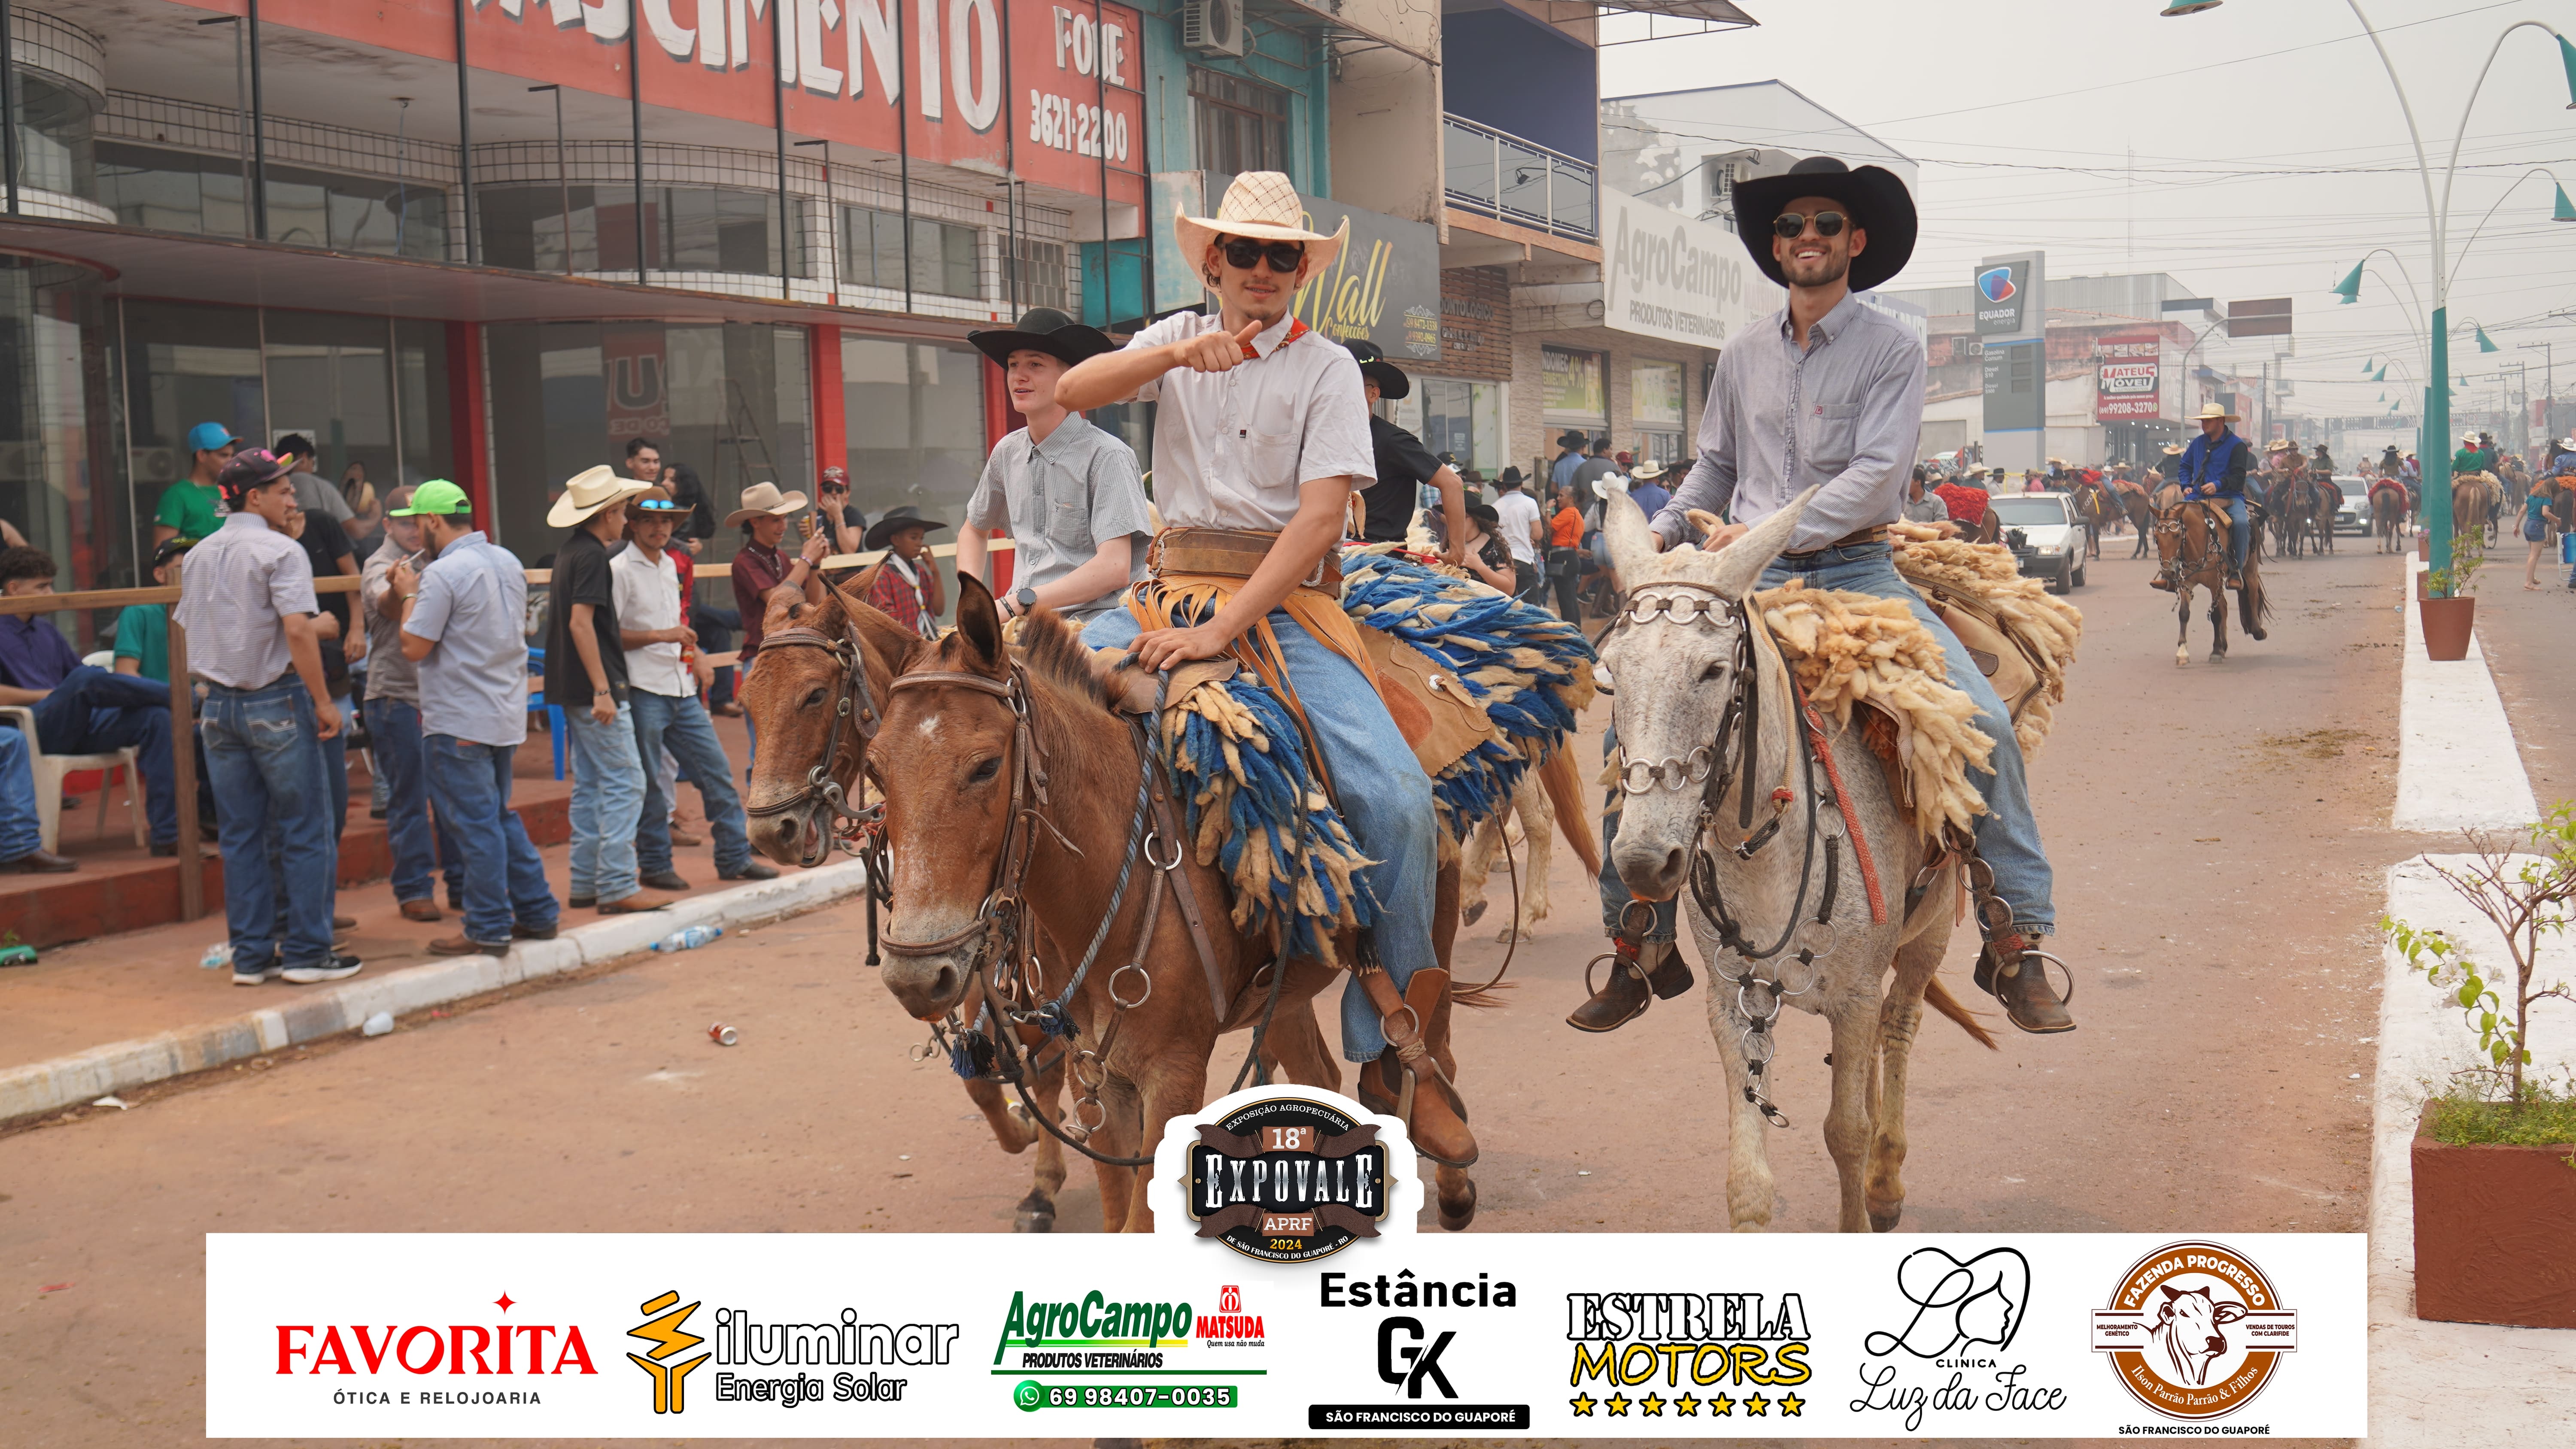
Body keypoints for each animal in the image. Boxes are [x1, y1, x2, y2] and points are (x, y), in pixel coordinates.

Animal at [737, 578, 1077, 1233]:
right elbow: (984, 1081)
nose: (771, 832)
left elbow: (1052, 1064)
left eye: (816, 694)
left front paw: (1045, 1179)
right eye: (746, 702)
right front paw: (1023, 1131)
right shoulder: (961, 955)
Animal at [859, 579, 1486, 1233]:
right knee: (1320, 1075)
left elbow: (1141, 1220)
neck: (1107, 891)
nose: (915, 975)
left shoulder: (1174, 1074)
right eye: (874, 766)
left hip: (1431, 921)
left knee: (1431, 1042)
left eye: (985, 767)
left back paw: (1450, 1168)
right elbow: (1117, 1215)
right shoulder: (1097, 1078)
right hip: (1283, 995)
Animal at [1593, 487, 1996, 1232]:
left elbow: (1846, 1132)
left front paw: (1865, 1197)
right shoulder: (1733, 1001)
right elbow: (1749, 1179)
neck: (1766, 861)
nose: (1642, 862)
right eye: (1611, 678)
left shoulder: (1860, 993)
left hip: (1924, 940)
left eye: (1714, 670)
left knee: (1900, 1029)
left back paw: (1886, 1182)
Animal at [2150, 484, 2270, 665]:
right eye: (2156, 537)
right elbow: (2184, 613)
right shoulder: (2186, 583)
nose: (2168, 572)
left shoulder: (2215, 582)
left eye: (2177, 535)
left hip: (2250, 570)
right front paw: (2182, 652)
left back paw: (2257, 631)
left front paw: (2215, 651)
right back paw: (2224, 645)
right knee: (2226, 605)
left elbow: (2216, 615)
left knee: (2253, 595)